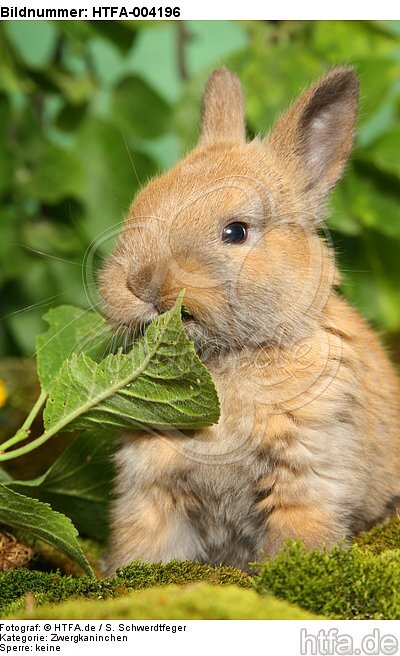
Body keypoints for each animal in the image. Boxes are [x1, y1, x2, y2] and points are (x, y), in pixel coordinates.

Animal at [99, 64, 400, 572]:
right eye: (142, 202)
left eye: (235, 231)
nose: (140, 283)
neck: (226, 362)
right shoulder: (151, 492)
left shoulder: (307, 481)